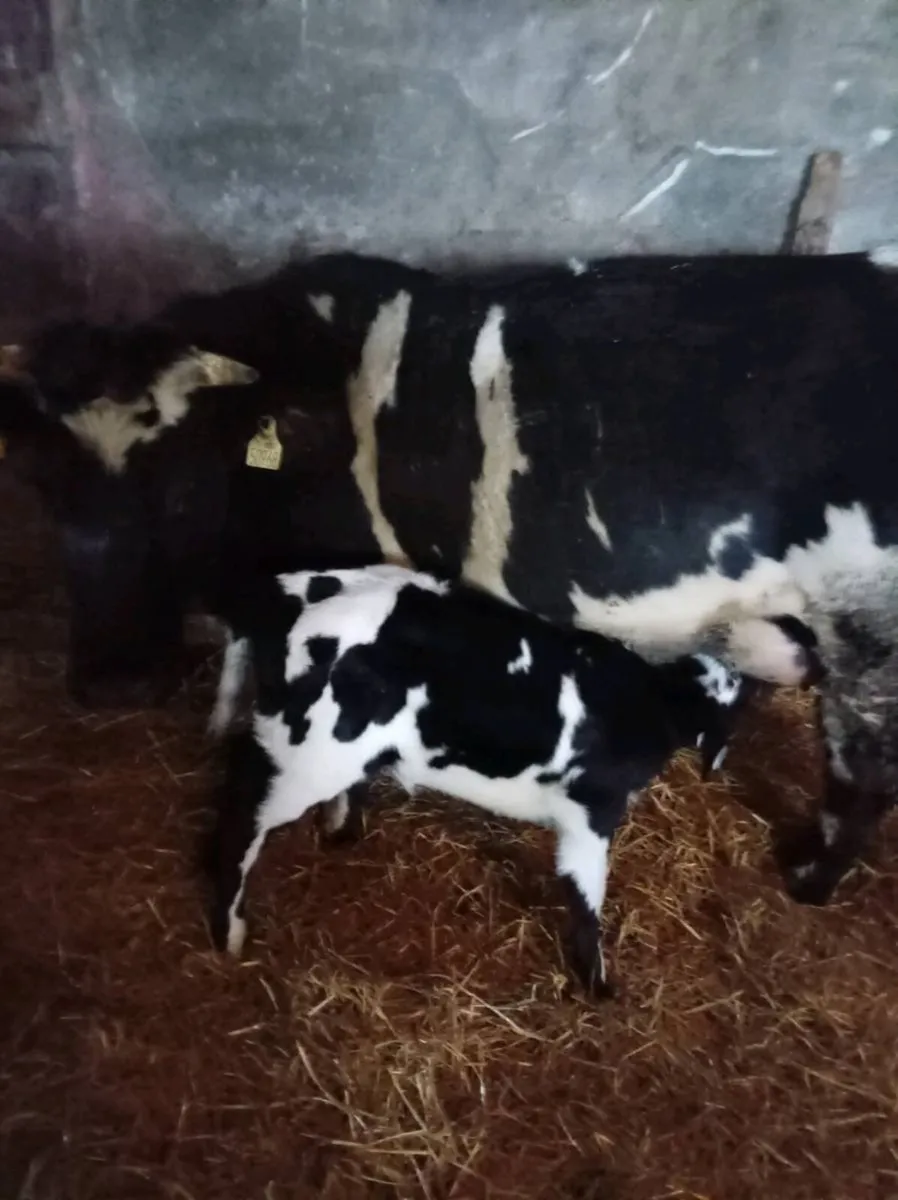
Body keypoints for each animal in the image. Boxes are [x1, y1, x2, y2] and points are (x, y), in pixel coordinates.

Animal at [1, 249, 897, 909]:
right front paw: (224, 722)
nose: (115, 684)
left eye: (184, 484)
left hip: (868, 623)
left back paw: (809, 877)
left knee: (864, 764)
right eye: (44, 487)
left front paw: (341, 818)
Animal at [202, 562, 754, 995]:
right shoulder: (590, 812)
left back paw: (339, 828)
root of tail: (285, 592)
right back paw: (231, 933)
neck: (648, 704)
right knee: (241, 819)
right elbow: (585, 892)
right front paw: (598, 984)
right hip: (303, 754)